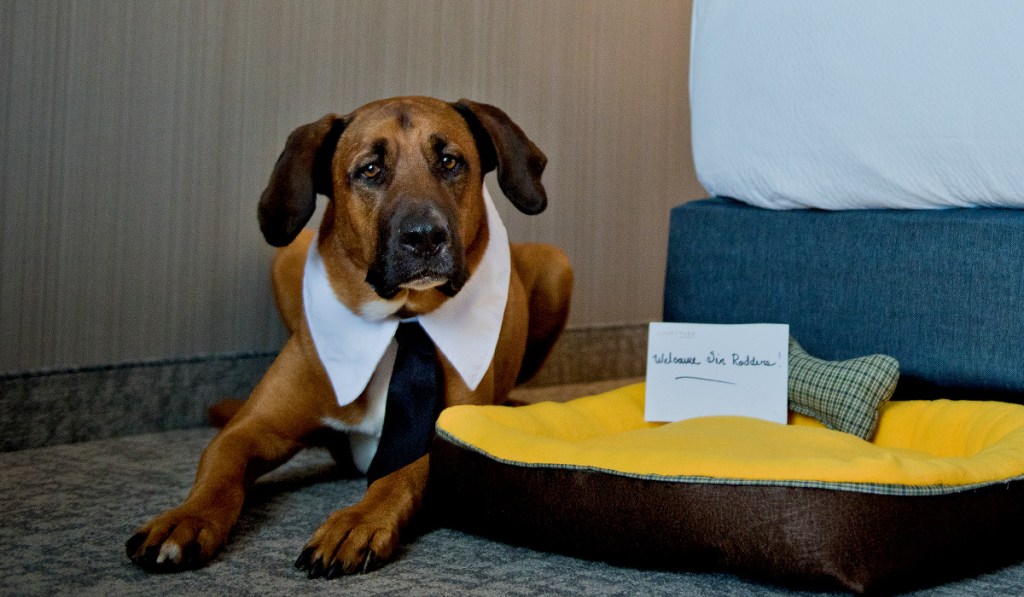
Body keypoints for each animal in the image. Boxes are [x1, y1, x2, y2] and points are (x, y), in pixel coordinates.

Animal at [125, 96, 572, 578]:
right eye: (370, 170)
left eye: (450, 162)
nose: (426, 237)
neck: (401, 321)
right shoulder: (250, 429)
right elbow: (218, 471)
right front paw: (184, 519)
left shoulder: (448, 438)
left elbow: (399, 473)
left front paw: (356, 521)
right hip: (285, 258)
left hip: (556, 264)